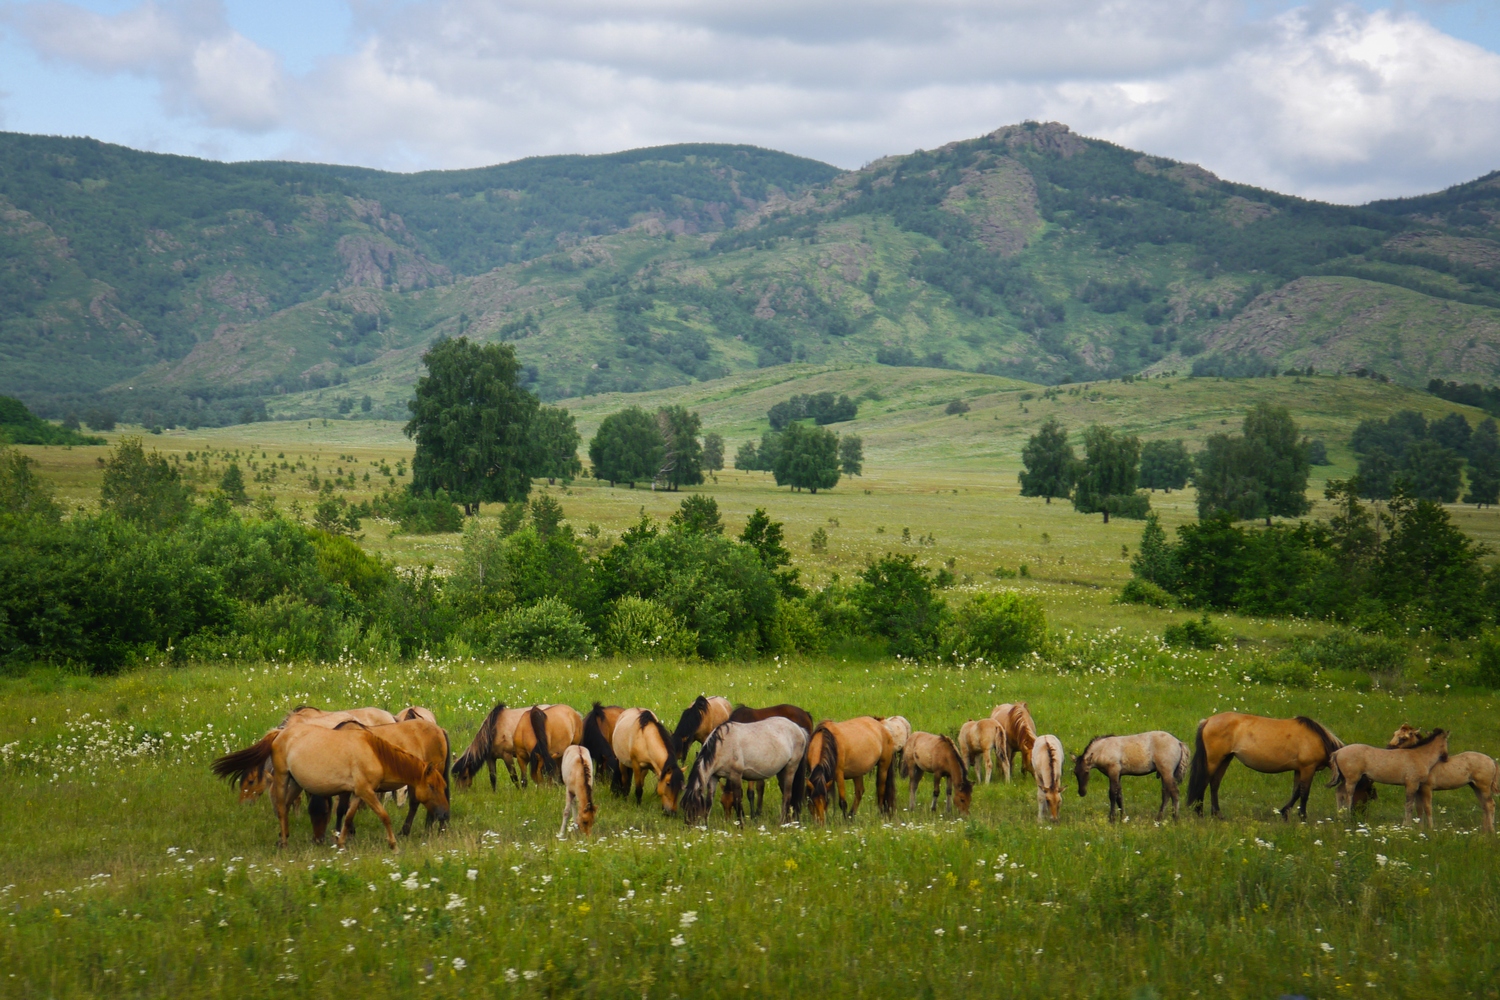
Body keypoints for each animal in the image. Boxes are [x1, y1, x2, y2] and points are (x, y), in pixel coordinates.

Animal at [681, 719, 810, 827]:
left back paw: (781, 823)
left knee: (787, 795)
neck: (722, 746)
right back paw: (789, 821)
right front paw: (706, 826)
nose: (690, 827)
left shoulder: (736, 776)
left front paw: (741, 825)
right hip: (781, 772)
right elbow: (709, 801)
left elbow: (737, 800)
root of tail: (799, 729)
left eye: (695, 807)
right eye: (684, 806)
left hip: (790, 768)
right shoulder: (714, 777)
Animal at [1188, 710, 1344, 821]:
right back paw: (1200, 813)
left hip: (1225, 759)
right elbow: (1304, 793)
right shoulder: (1308, 768)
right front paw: (1302, 817)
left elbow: (1296, 792)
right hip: (1214, 760)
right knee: (1204, 782)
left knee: (1214, 784)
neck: (1319, 739)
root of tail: (1208, 721)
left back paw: (1217, 814)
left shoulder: (1299, 770)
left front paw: (1284, 813)